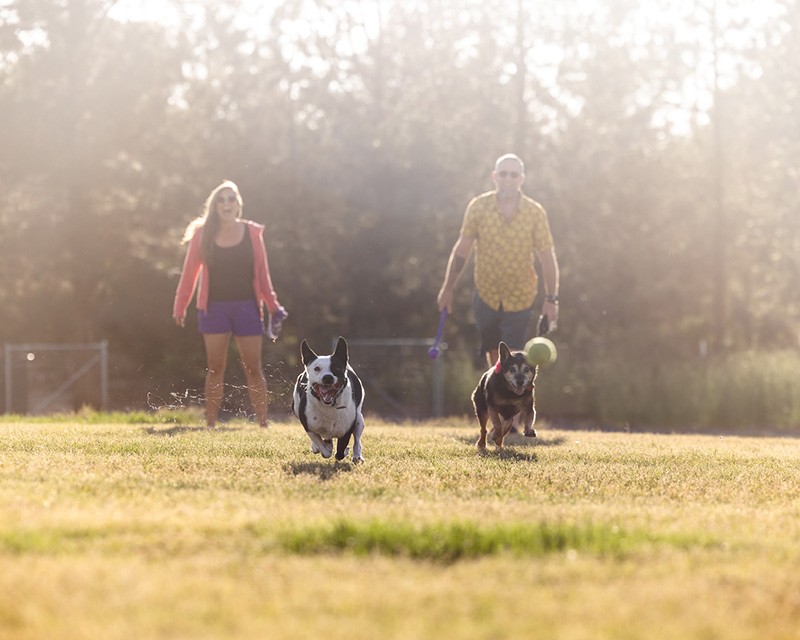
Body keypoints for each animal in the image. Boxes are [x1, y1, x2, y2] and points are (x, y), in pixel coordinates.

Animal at [290, 336, 366, 464]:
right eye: (317, 368)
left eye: (337, 368)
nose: (327, 377)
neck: (329, 405)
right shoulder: (309, 427)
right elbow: (324, 451)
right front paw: (325, 446)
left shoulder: (347, 430)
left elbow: (340, 452)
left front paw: (344, 451)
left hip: (359, 419)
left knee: (357, 440)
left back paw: (356, 456)